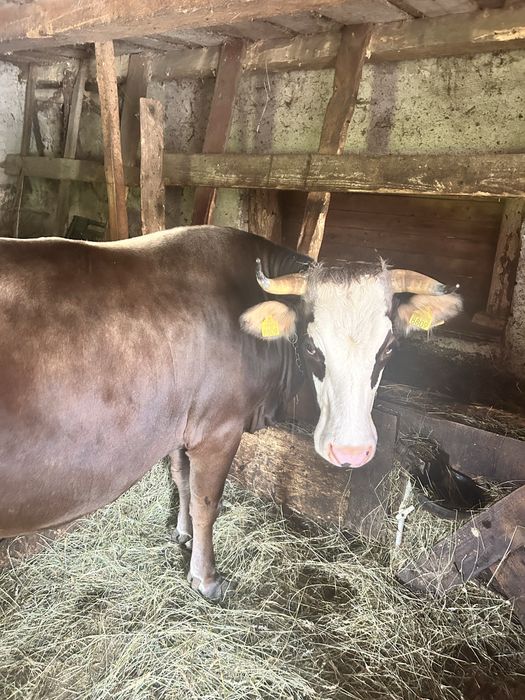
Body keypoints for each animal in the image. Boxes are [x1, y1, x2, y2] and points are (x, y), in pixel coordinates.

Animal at [0, 226, 462, 599]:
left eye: (388, 348)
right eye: (313, 347)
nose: (350, 451)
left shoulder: (182, 422)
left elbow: (181, 478)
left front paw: (183, 534)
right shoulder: (218, 428)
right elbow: (207, 500)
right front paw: (206, 578)